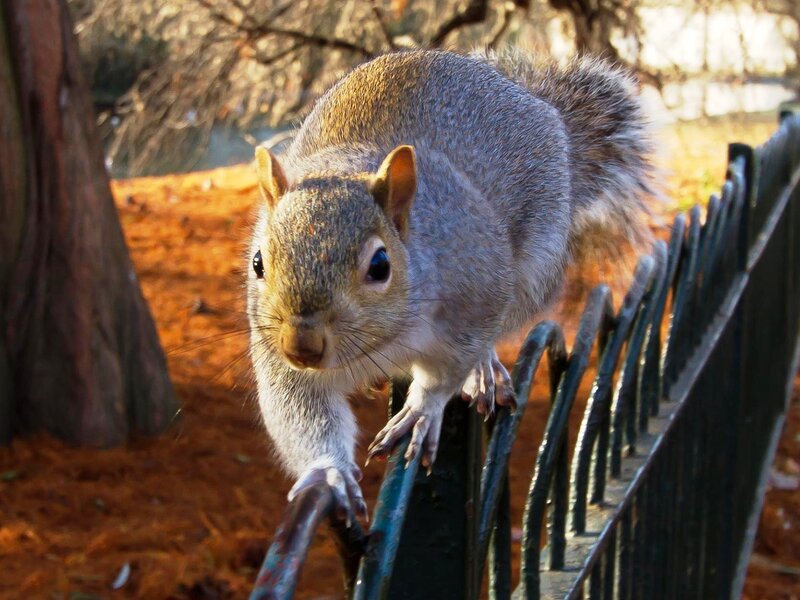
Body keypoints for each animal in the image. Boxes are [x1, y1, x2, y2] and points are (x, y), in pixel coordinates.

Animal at [247, 48, 654, 518]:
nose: (302, 346)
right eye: (257, 262)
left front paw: (423, 411)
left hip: (533, 267)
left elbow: (447, 371)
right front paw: (328, 471)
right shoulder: (276, 353)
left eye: (380, 265)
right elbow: (300, 409)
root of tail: (535, 102)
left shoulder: (474, 297)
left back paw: (484, 370)